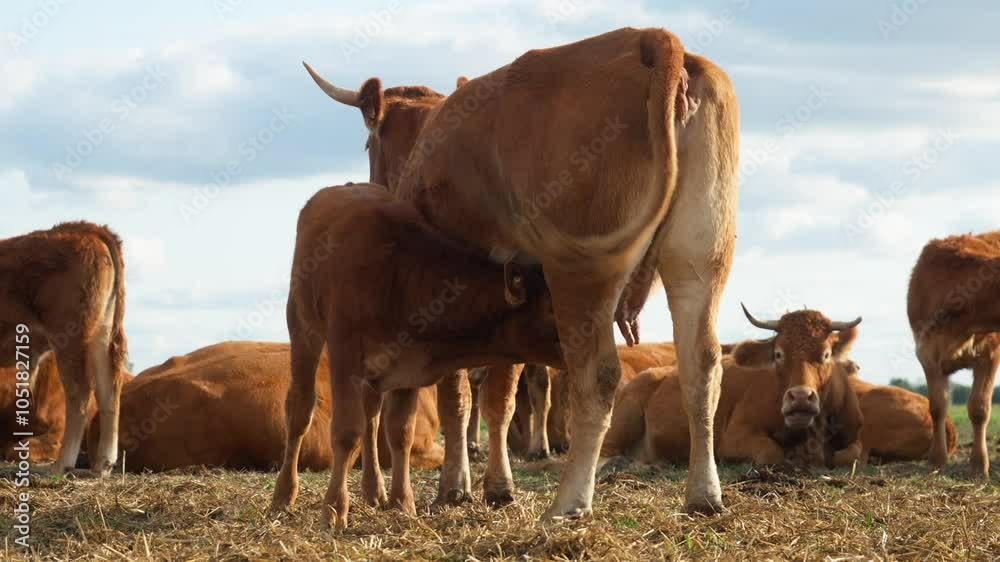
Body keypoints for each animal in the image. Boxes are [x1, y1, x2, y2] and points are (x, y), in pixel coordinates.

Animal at [0, 221, 127, 476]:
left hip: (69, 337)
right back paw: (103, 465)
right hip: (102, 333)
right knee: (108, 389)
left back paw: (61, 465)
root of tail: (86, 228)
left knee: (80, 394)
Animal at [268, 183, 563, 529]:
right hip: (303, 326)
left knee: (372, 418)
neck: (402, 276)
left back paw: (374, 491)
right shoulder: (344, 355)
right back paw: (283, 496)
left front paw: (402, 504)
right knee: (300, 409)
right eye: (552, 308)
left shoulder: (408, 368)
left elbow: (400, 433)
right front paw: (334, 511)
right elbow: (346, 432)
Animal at [303, 28, 739, 517]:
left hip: (582, 271)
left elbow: (457, 397)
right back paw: (703, 494)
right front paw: (496, 485)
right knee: (701, 367)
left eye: (368, 144)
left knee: (598, 378)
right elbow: (499, 397)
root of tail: (651, 41)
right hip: (699, 261)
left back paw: (568, 503)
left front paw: (455, 485)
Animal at [601, 309, 863, 467]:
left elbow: (849, 454)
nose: (799, 397)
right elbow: (771, 452)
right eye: (778, 354)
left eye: (826, 354)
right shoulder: (734, 436)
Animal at [908, 230, 1000, 478]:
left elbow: (979, 408)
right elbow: (937, 407)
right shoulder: (927, 355)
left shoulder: (990, 354)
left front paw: (979, 466)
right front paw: (937, 461)